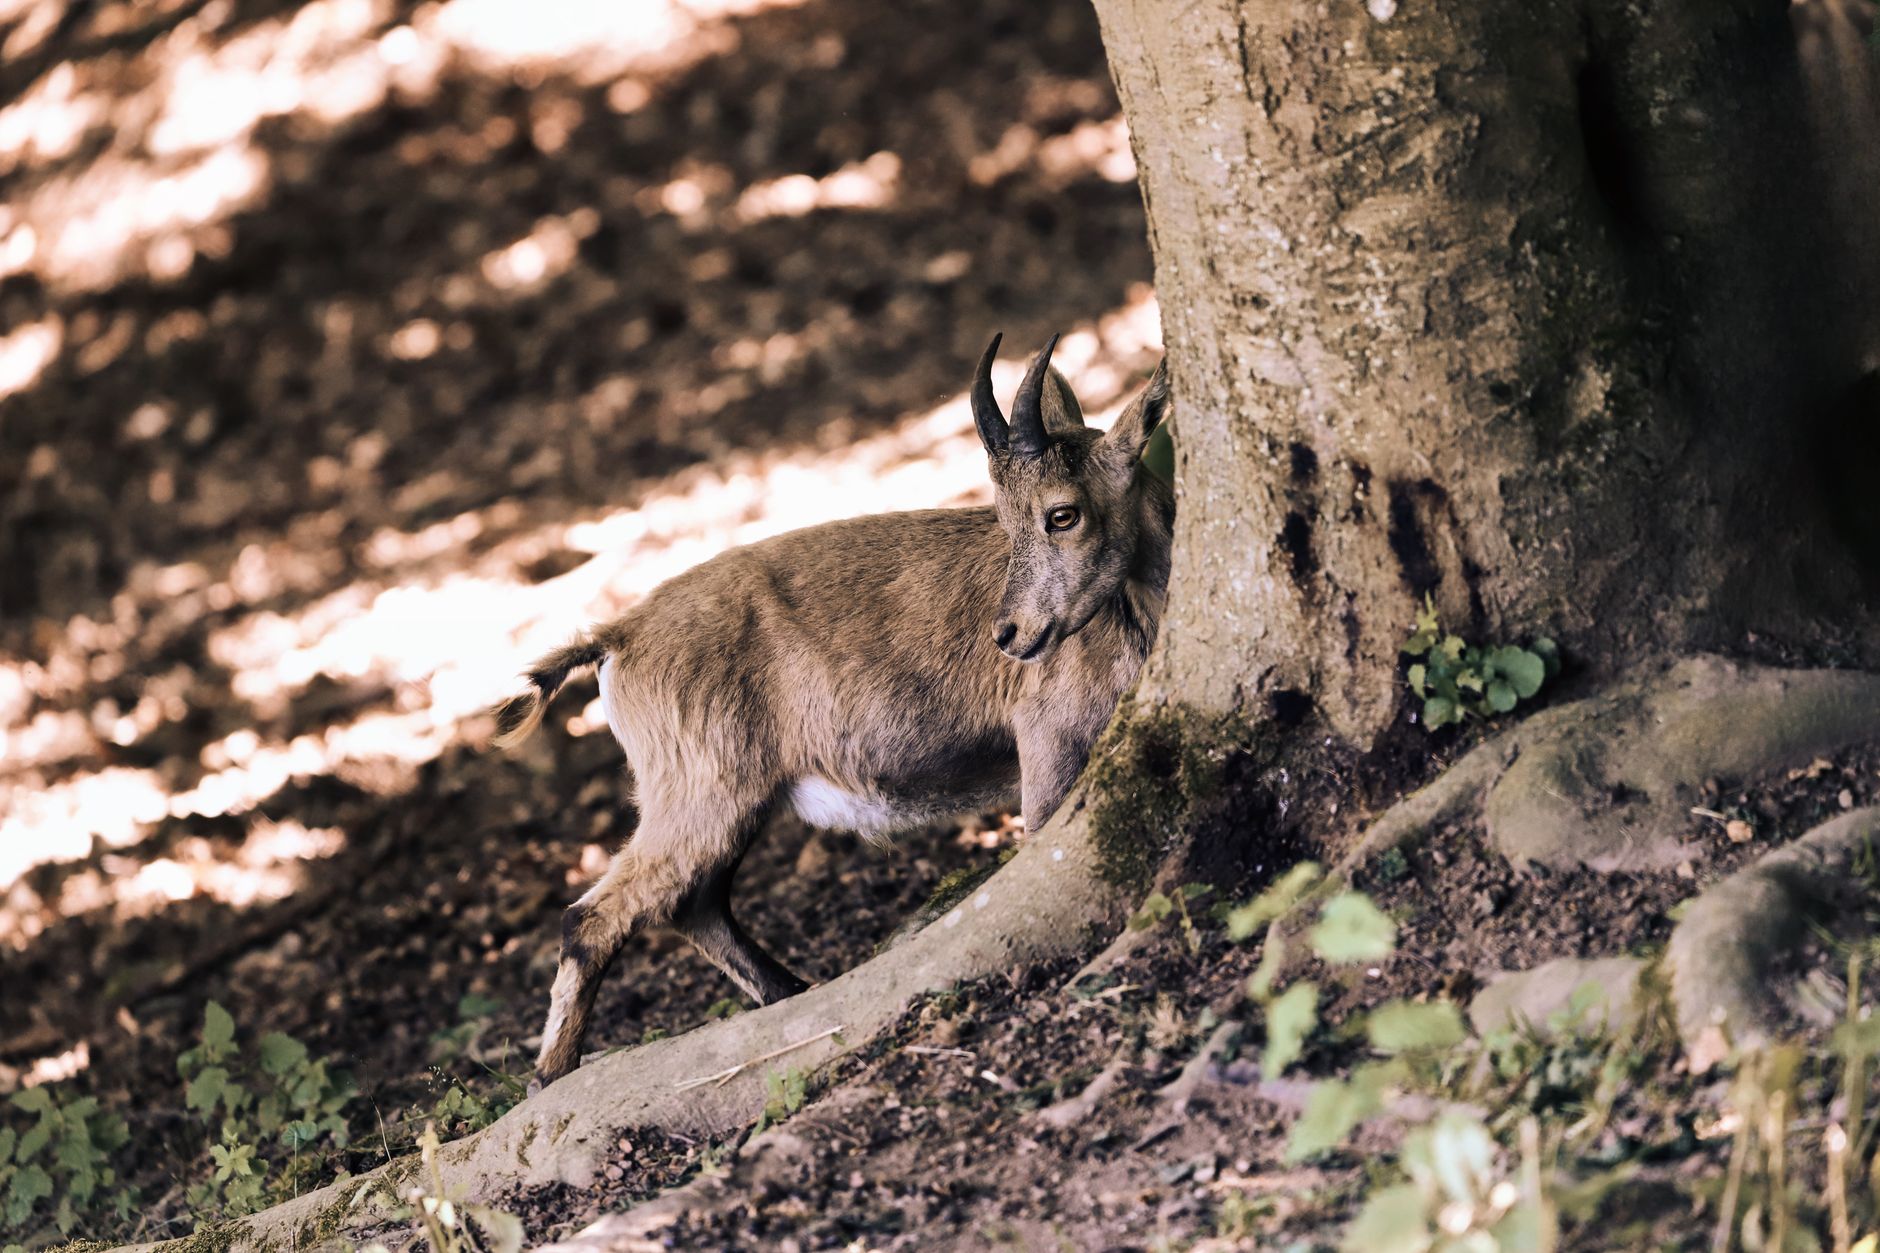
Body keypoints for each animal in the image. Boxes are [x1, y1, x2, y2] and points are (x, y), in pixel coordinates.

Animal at [491, 334, 1172, 1084]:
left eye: (1061, 513)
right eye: (1009, 518)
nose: (1010, 634)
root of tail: (619, 637)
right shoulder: (1049, 736)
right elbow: (1044, 833)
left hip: (721, 796)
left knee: (696, 903)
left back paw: (790, 992)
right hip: (698, 785)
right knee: (593, 918)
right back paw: (552, 1074)